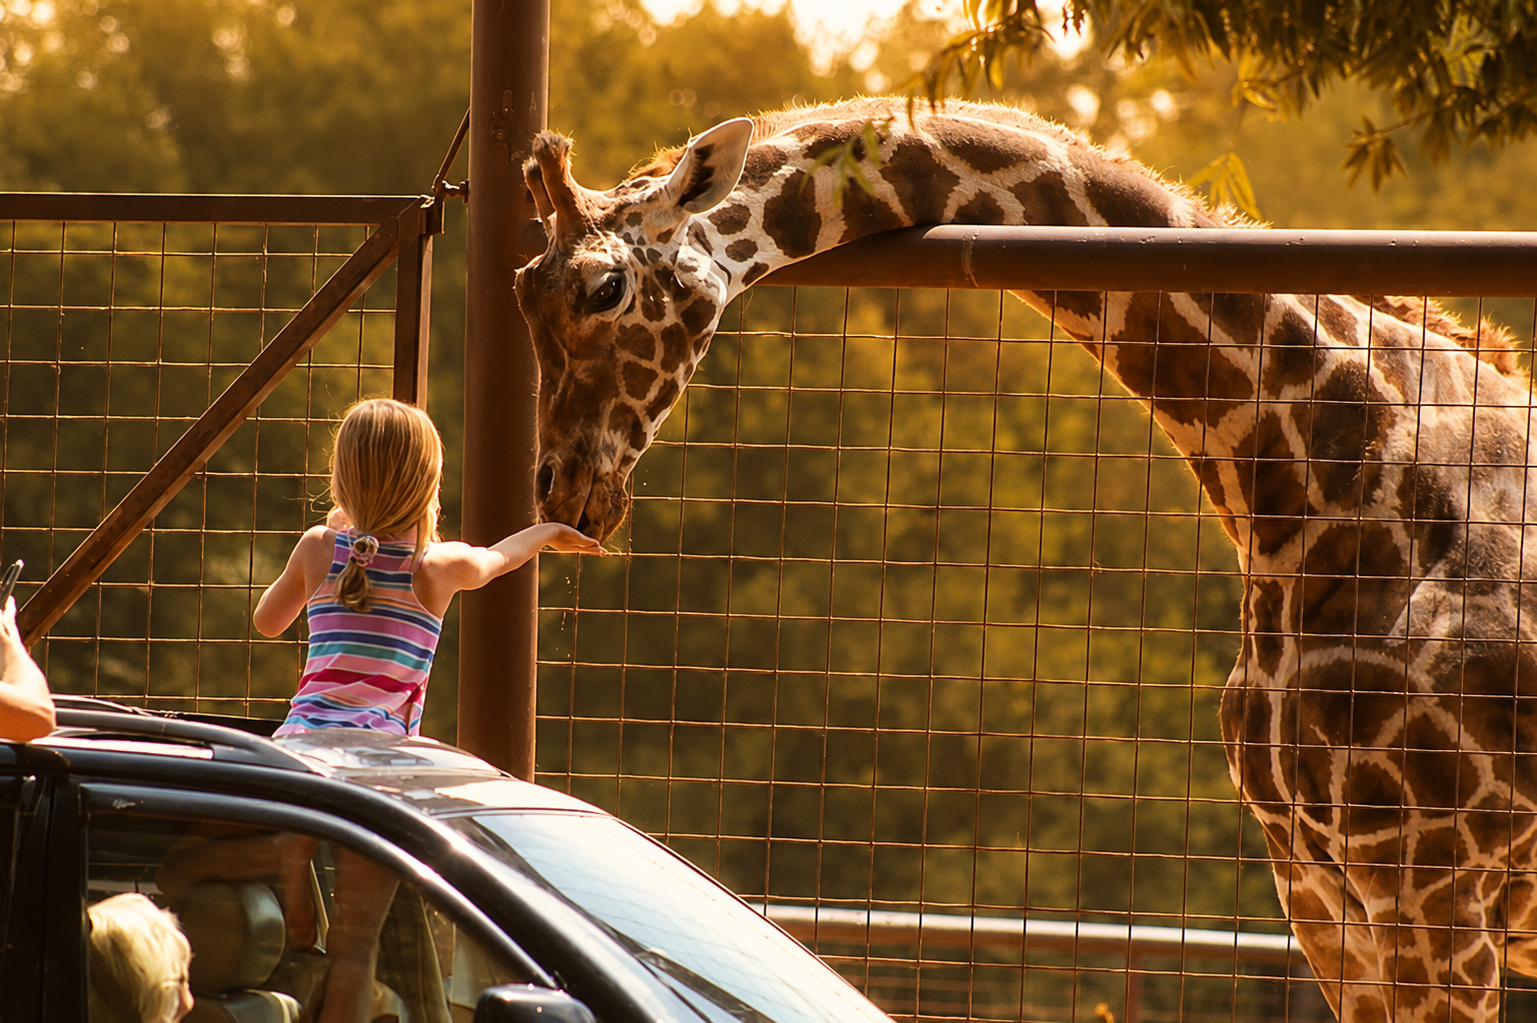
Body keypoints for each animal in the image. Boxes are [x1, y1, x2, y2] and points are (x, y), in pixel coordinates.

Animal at [513, 97, 1537, 1022]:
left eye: (604, 290)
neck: (1331, 473)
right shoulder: (1319, 888)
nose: (563, 490)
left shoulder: (1431, 884)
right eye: (524, 290)